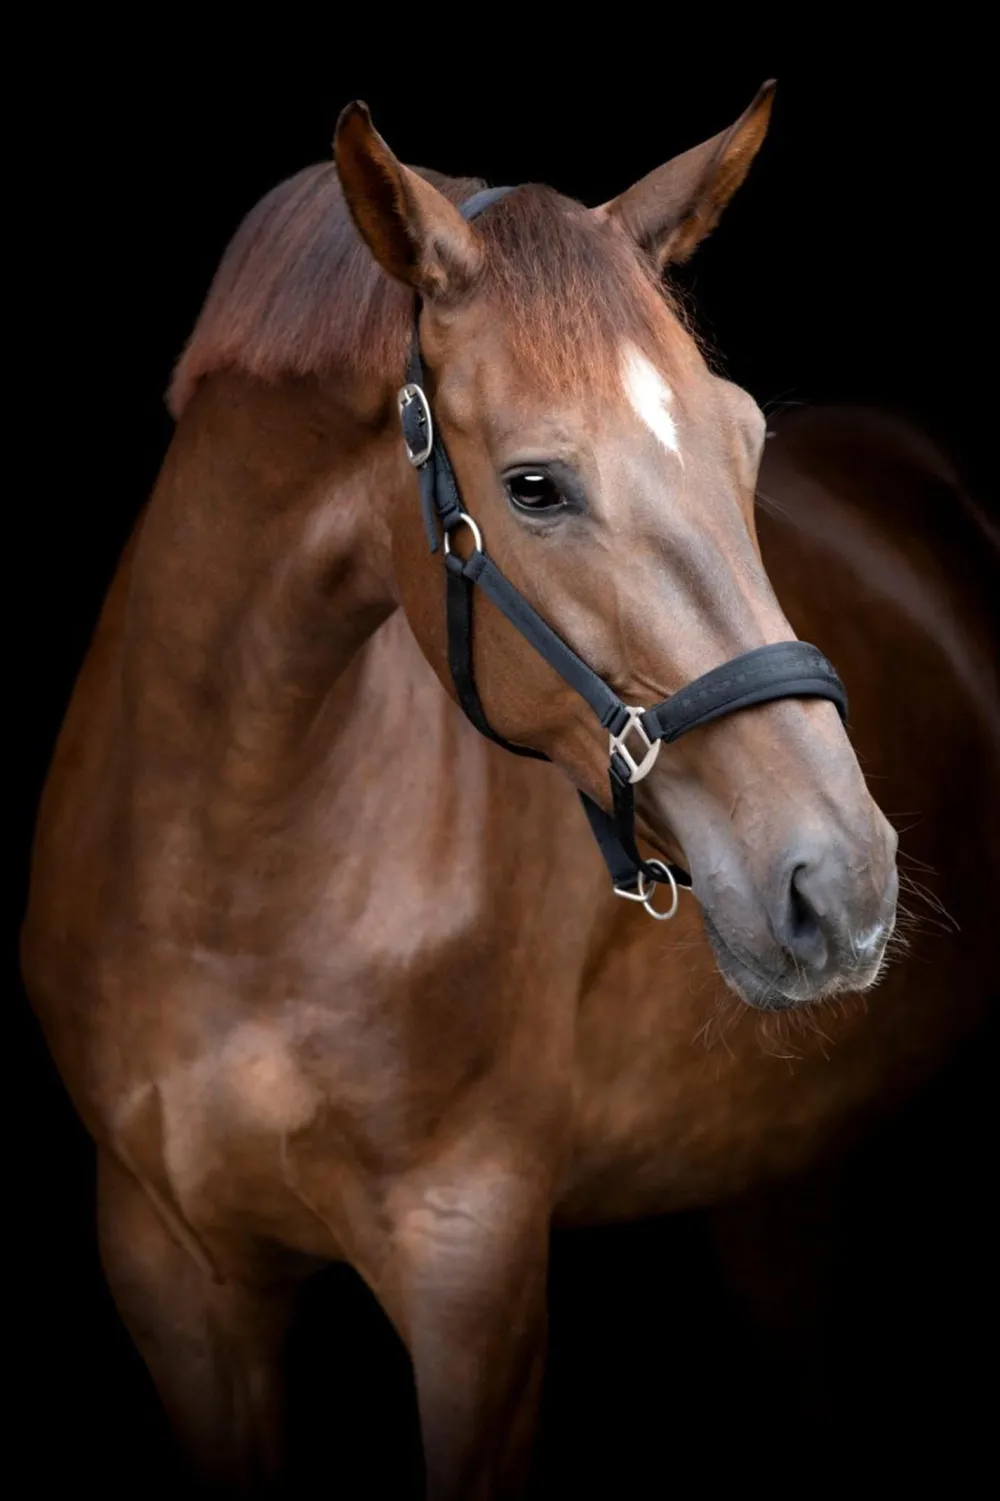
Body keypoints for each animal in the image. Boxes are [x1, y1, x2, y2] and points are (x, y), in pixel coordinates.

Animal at [21, 81, 999, 1497]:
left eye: (747, 438)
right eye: (534, 485)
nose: (843, 880)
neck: (230, 877)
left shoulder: (471, 1276)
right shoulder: (173, 1274)